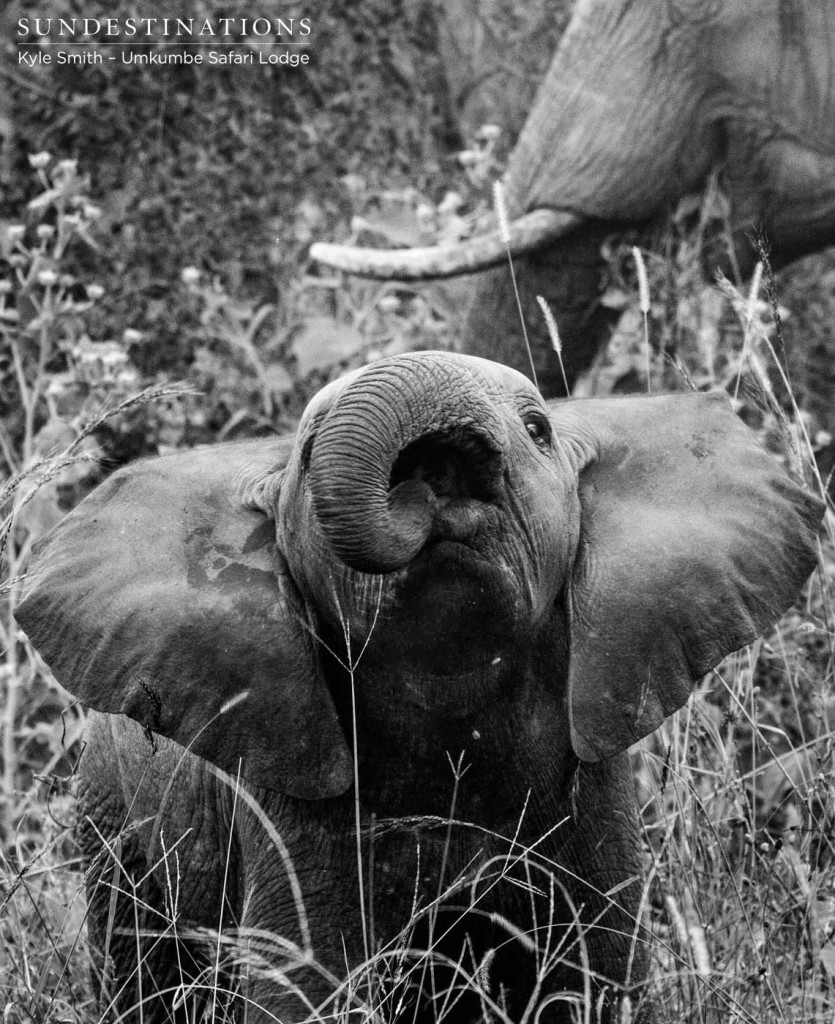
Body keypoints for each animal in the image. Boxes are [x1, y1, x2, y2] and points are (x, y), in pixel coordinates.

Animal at [17, 354, 823, 1024]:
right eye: (307, 454)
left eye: (537, 429)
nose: (425, 476)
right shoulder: (288, 794)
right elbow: (306, 988)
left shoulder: (594, 784)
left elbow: (597, 975)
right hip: (112, 821)